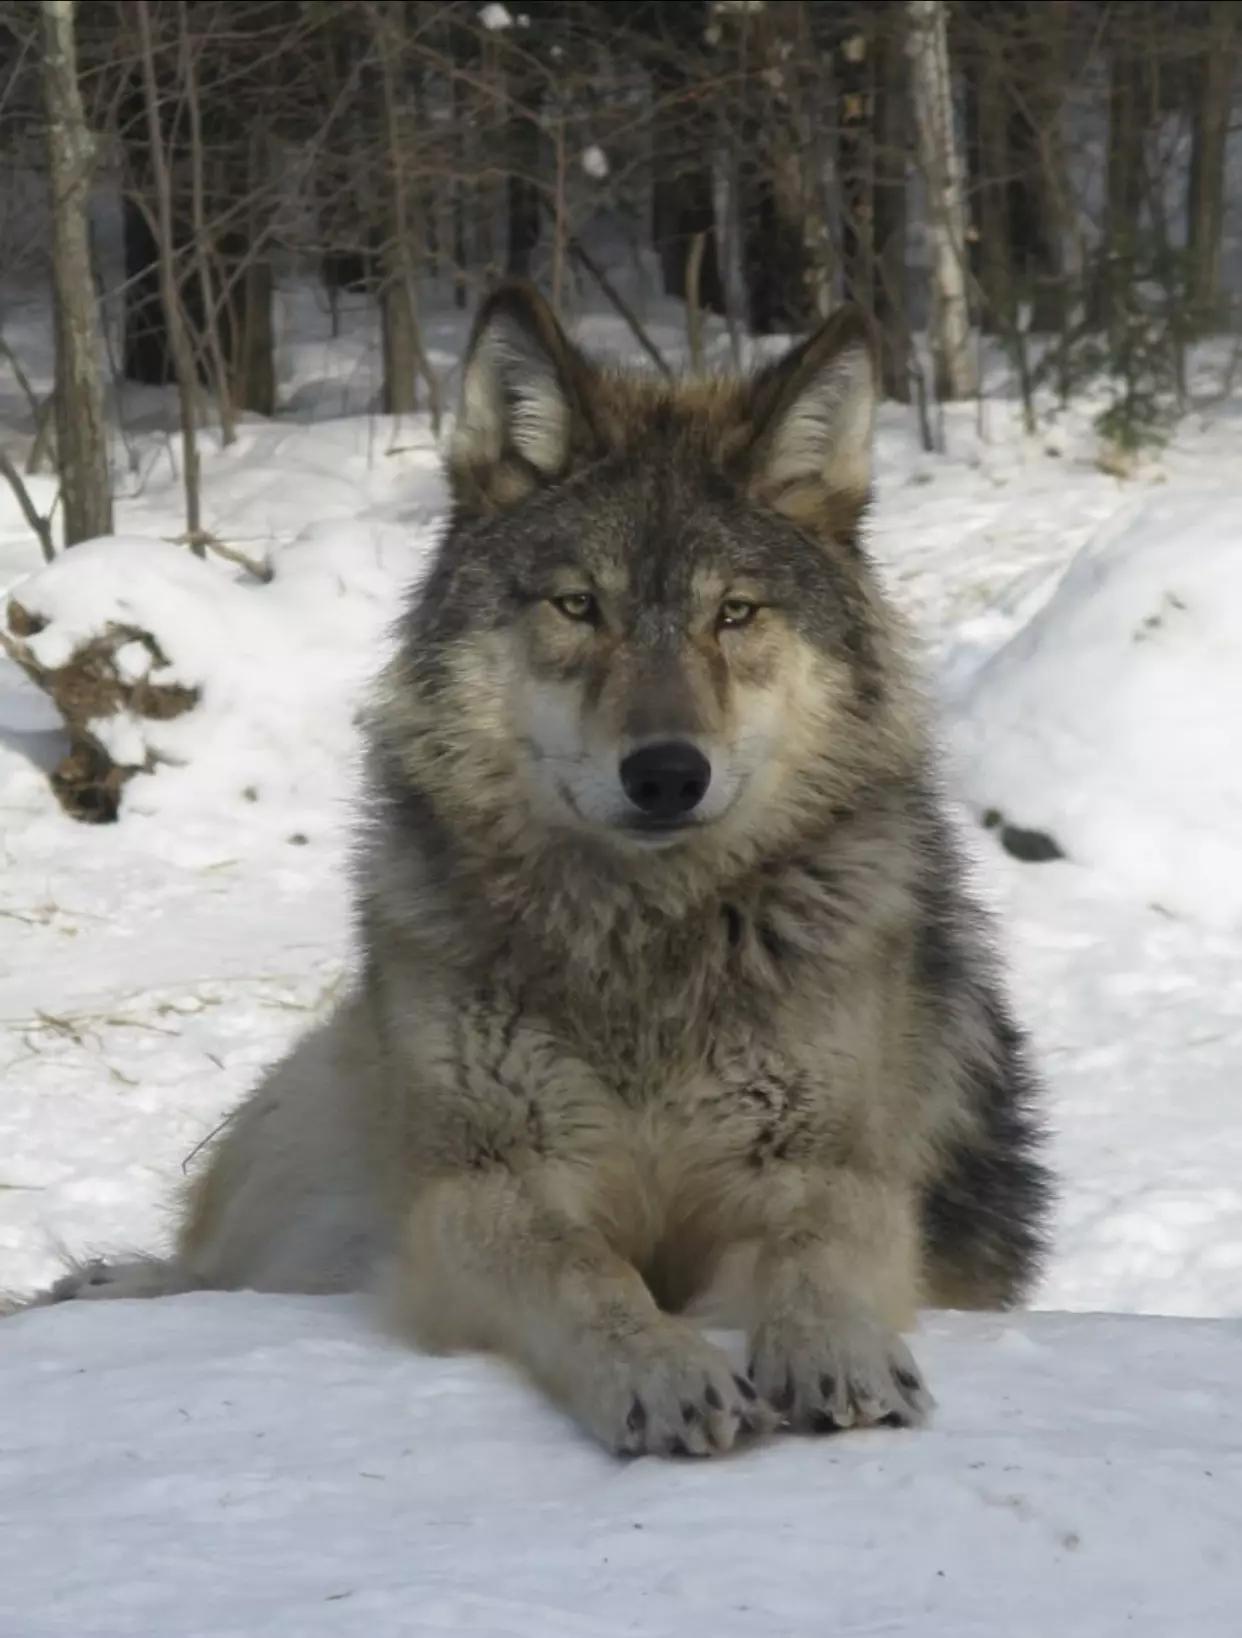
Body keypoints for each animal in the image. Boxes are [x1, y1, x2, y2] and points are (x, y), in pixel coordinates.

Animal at [21, 284, 1051, 1456]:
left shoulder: (832, 1174)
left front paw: (835, 1354)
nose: (667, 773)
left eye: (734, 613)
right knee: (223, 1270)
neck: (646, 948)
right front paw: (665, 1370)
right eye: (578, 606)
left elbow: (815, 1258)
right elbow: (591, 1277)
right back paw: (107, 1286)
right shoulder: (483, 1190)